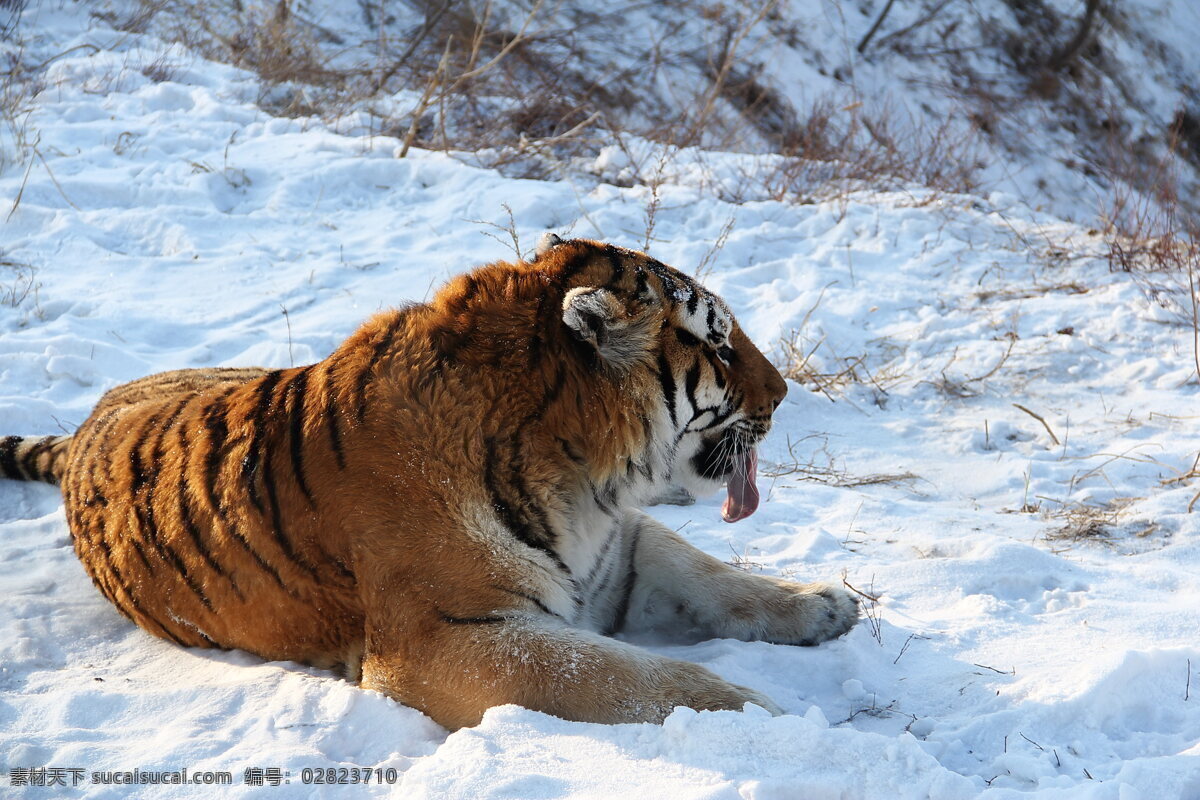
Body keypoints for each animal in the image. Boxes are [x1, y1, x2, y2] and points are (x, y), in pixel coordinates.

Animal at [2, 235, 864, 729]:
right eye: (717, 345)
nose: (785, 393)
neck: (587, 485)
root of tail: (91, 420)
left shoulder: (618, 556)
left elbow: (713, 576)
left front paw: (823, 605)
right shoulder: (449, 638)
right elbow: (630, 674)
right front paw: (756, 717)